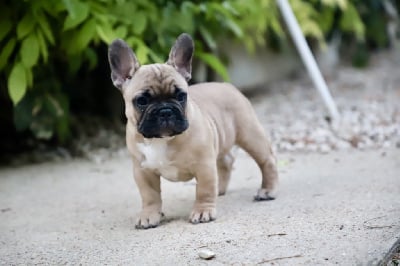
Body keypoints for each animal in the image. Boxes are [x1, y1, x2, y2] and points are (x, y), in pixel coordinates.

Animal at [108, 32, 280, 229]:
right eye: (142, 101)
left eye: (181, 96)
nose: (165, 111)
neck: (161, 140)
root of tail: (227, 85)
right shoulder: (143, 171)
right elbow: (150, 196)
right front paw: (149, 215)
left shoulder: (204, 165)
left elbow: (204, 190)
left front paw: (203, 210)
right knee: (226, 160)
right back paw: (220, 189)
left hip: (249, 133)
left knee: (267, 160)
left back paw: (267, 190)